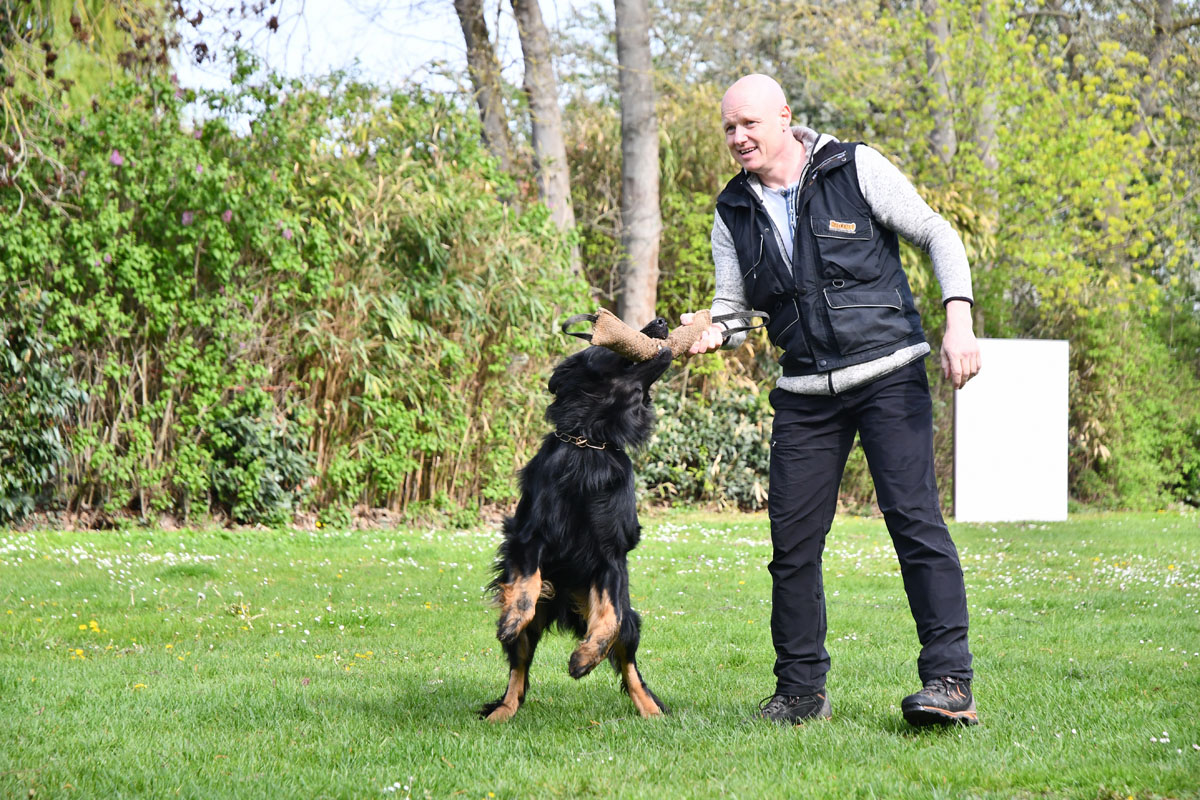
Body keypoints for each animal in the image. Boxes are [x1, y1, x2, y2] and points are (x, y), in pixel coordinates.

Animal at [482, 316, 681, 724]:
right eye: (602, 347)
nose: (661, 321)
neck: (591, 441)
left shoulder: (612, 554)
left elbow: (610, 619)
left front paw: (584, 659)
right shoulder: (528, 536)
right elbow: (525, 587)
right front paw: (510, 620)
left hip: (626, 618)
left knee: (627, 653)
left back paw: (650, 709)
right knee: (518, 668)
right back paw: (503, 710)